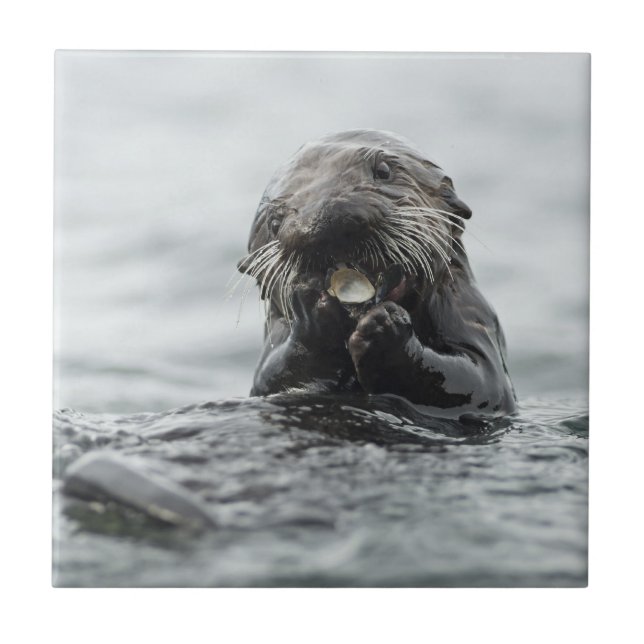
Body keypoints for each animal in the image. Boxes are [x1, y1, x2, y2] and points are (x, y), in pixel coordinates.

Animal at [237, 130, 516, 415]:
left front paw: (385, 327)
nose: (324, 220)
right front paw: (313, 313)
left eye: (383, 170)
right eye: (274, 222)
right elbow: (274, 378)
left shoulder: (471, 314)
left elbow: (480, 381)